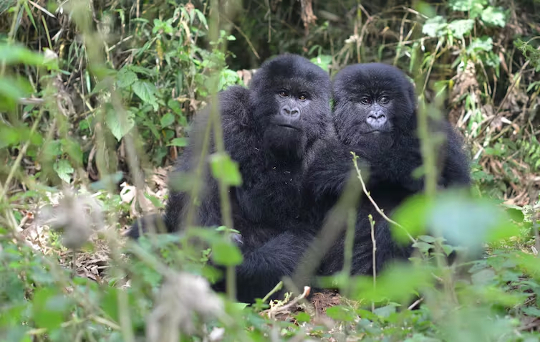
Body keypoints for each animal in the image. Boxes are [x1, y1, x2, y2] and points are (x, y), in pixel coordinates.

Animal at [130, 54, 334, 304]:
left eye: (303, 98)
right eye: (283, 93)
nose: (290, 111)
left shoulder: (330, 144)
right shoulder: (226, 109)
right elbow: (196, 177)